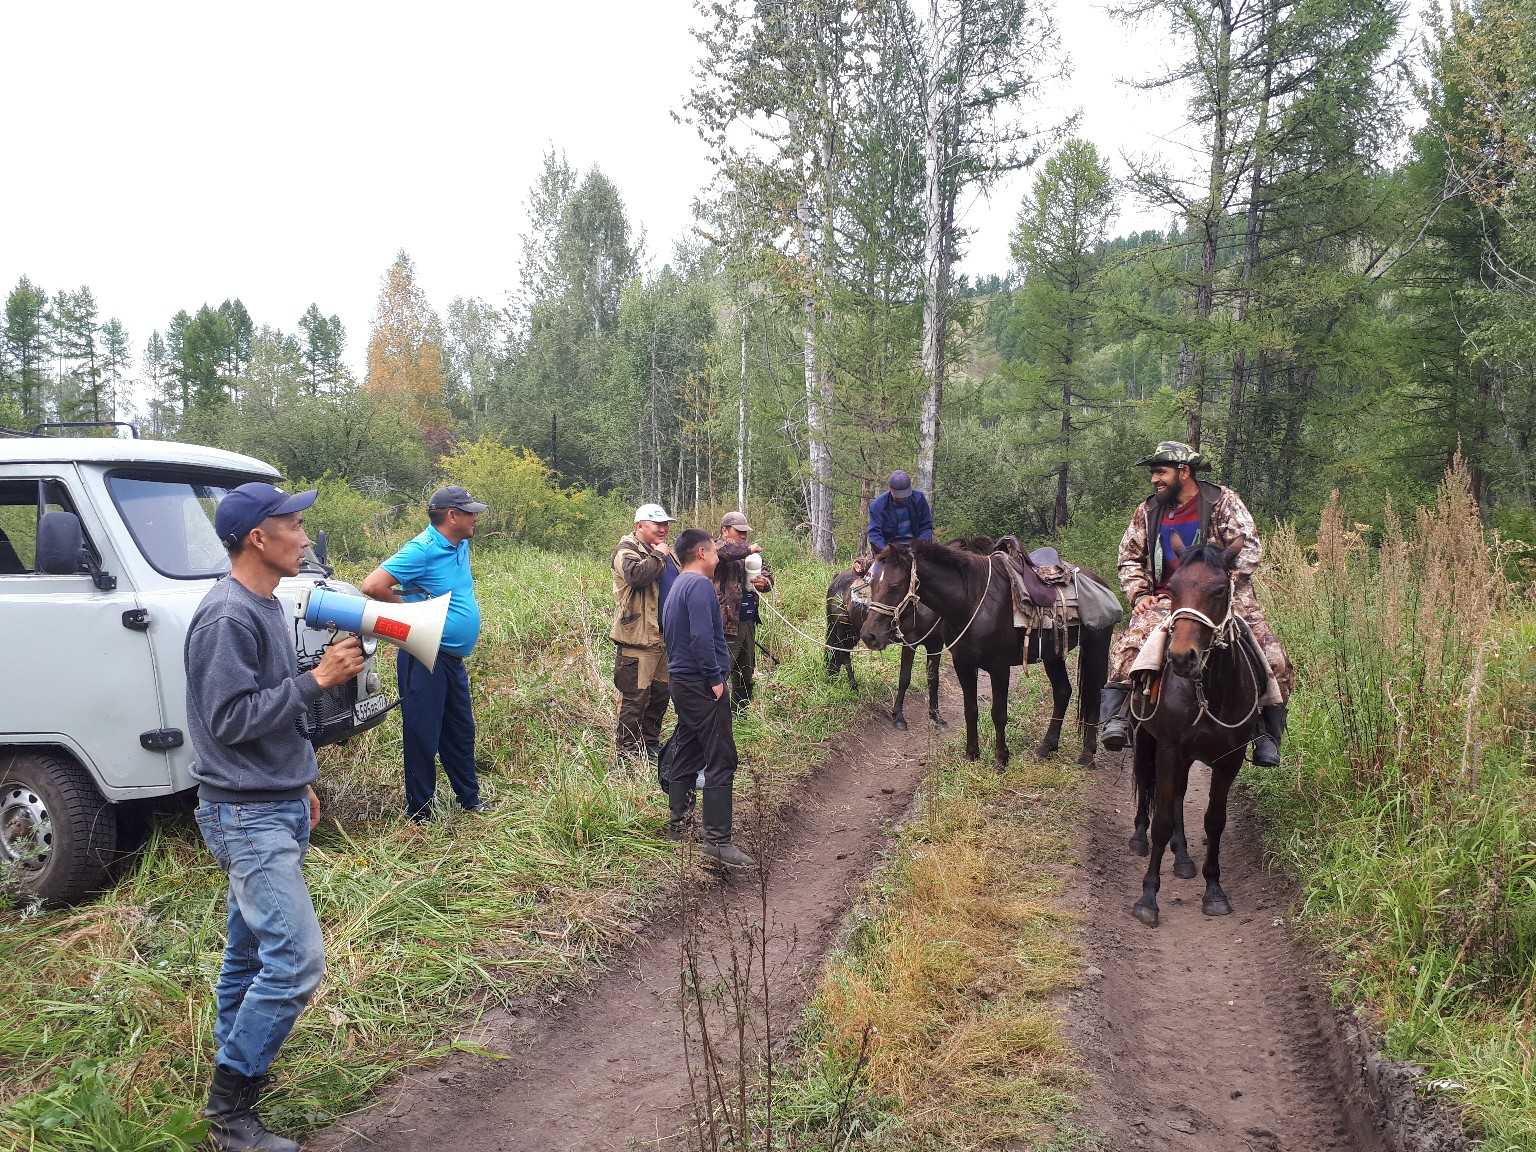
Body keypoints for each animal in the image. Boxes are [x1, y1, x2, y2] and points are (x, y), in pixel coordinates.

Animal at [823, 574, 940, 731]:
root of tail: (836, 578)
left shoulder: (937, 644)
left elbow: (933, 679)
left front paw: (936, 718)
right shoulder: (910, 642)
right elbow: (904, 678)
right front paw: (898, 717)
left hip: (852, 632)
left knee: (838, 654)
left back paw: (839, 681)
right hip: (841, 628)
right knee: (840, 653)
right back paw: (850, 686)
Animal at [860, 540, 1112, 768]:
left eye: (895, 585)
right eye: (870, 583)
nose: (869, 635)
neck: (971, 602)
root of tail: (1101, 582)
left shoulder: (999, 668)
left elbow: (998, 713)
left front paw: (1001, 759)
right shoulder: (963, 665)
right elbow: (970, 709)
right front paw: (972, 754)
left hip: (1097, 649)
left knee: (1096, 695)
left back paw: (1087, 755)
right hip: (1053, 656)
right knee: (1062, 692)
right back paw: (1046, 747)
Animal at [1130, 540, 1271, 927]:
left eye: (1220, 590)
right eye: (1173, 589)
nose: (1181, 658)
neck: (1210, 691)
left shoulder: (1228, 760)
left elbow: (1214, 821)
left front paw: (1214, 891)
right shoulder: (1168, 748)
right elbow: (1161, 820)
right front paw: (1148, 898)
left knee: (1177, 794)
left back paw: (1182, 858)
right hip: (1145, 739)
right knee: (1147, 783)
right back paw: (1140, 839)